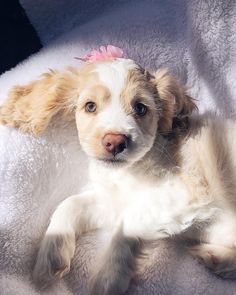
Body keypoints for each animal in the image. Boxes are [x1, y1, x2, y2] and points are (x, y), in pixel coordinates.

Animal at [0, 58, 236, 295]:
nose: (114, 142)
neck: (128, 172)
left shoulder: (182, 192)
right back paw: (215, 257)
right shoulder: (113, 200)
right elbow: (71, 203)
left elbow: (128, 224)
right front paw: (50, 257)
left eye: (140, 108)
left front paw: (108, 277)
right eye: (90, 106)